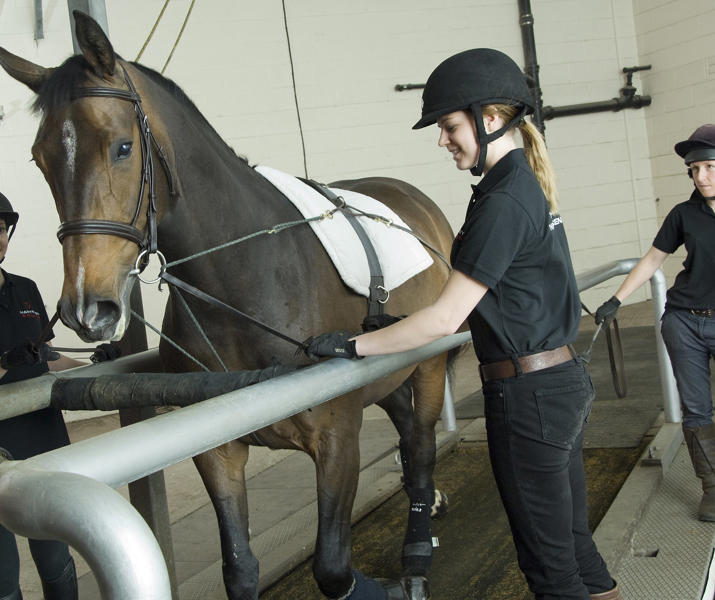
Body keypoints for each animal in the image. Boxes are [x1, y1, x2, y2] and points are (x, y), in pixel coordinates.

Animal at [0, 11, 457, 600]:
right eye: (41, 159)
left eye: (121, 147)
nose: (87, 309)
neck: (246, 277)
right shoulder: (216, 450)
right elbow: (239, 568)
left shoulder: (337, 437)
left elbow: (332, 566)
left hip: (426, 364)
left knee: (420, 447)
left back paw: (417, 548)